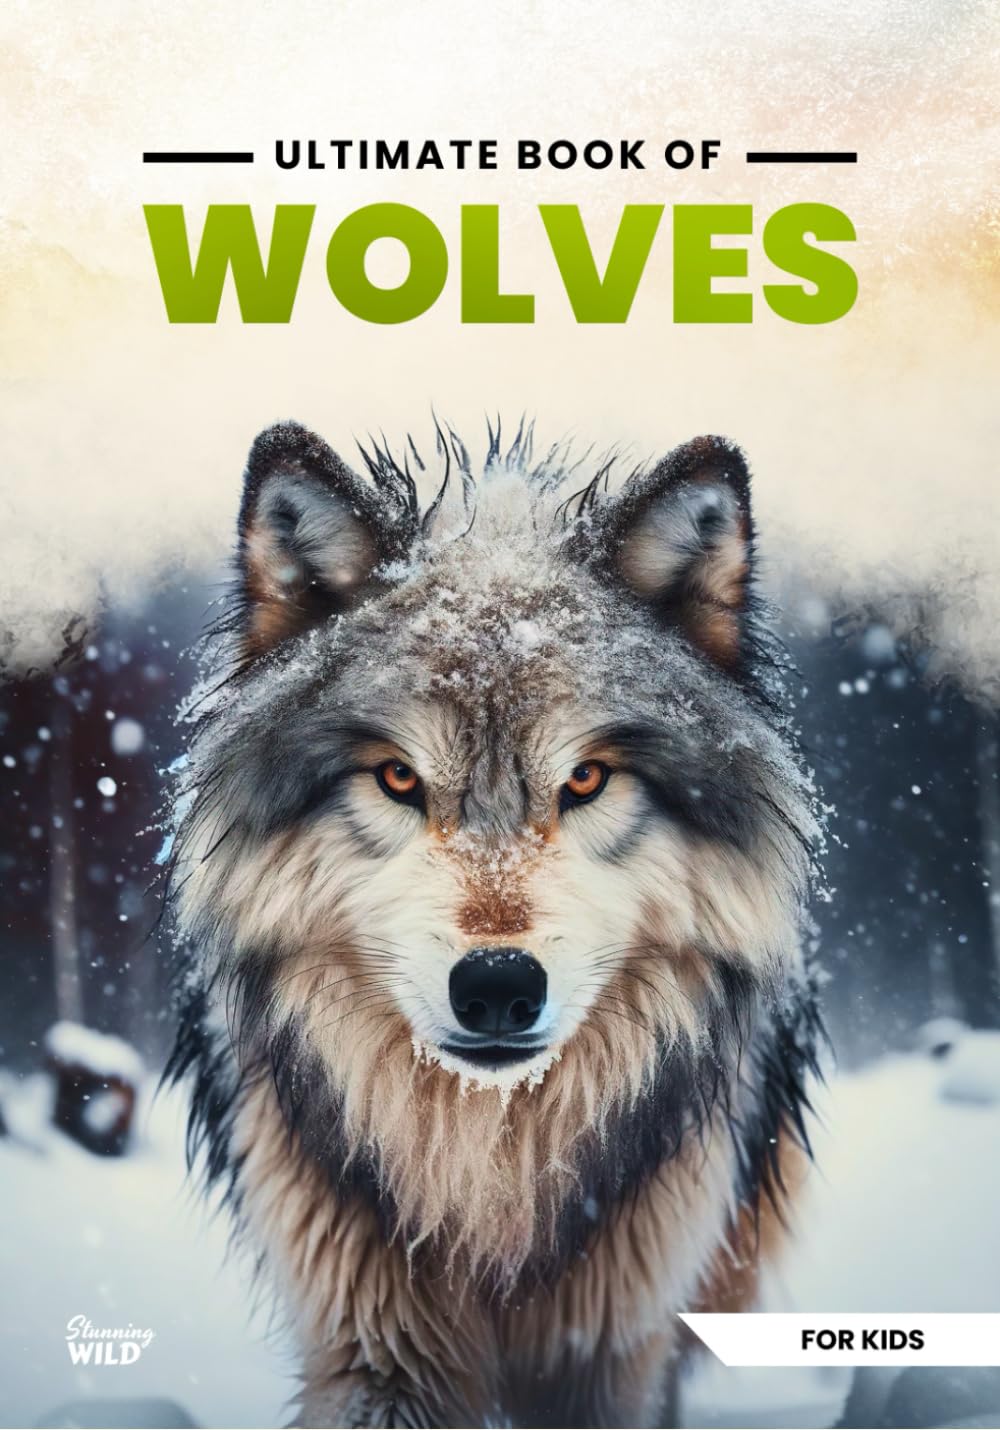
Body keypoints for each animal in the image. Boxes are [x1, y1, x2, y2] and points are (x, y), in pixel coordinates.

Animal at [166, 418, 823, 1428]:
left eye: (586, 778)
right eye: (398, 777)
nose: (499, 987)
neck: (491, 1176)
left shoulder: (617, 1341)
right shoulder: (374, 1340)